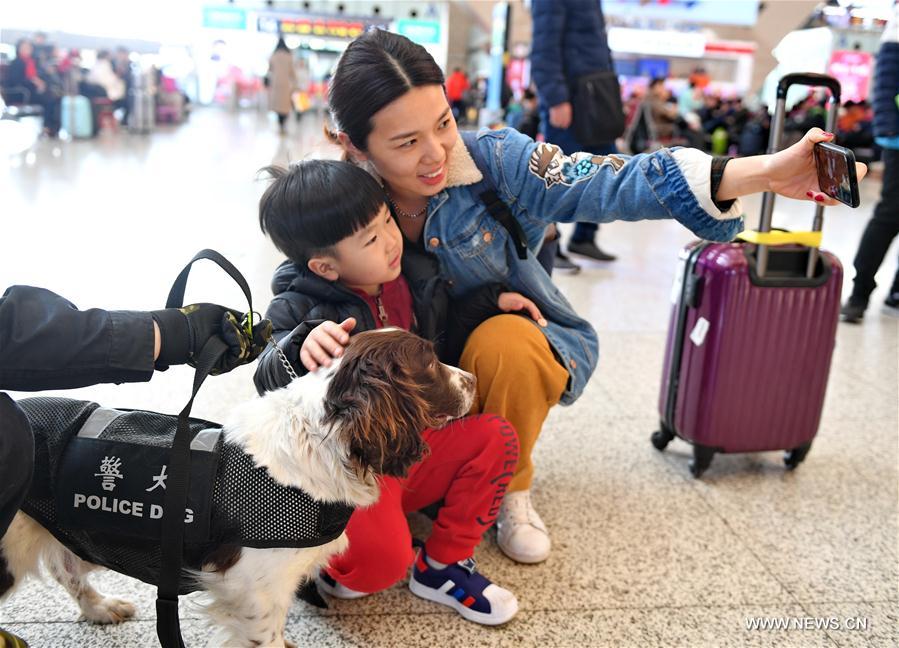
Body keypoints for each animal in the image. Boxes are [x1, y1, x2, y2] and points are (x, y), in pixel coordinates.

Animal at [1, 332, 478, 644]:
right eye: (430, 361)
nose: (473, 379)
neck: (319, 437)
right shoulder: (256, 593)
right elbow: (267, 638)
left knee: (65, 567)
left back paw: (100, 608)